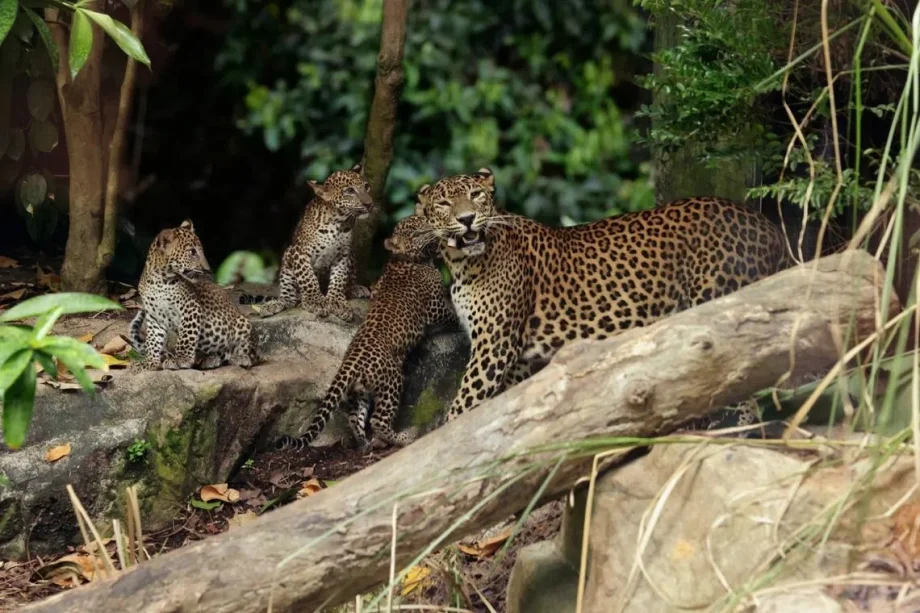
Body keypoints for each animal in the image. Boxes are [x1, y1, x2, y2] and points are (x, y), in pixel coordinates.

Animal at [129, 220, 258, 371]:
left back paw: (241, 357)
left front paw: (181, 359)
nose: (208, 270)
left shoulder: (191, 307)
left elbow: (186, 335)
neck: (159, 280)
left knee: (251, 352)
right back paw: (211, 359)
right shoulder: (155, 316)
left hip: (242, 324)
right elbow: (153, 341)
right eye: (192, 252)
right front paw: (149, 362)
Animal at [259, 163, 375, 322]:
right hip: (287, 257)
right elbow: (308, 278)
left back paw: (355, 289)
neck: (338, 222)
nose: (369, 204)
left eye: (366, 187)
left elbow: (339, 279)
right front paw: (316, 301)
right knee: (289, 299)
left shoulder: (343, 255)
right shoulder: (300, 253)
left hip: (353, 255)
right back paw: (272, 305)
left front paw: (337, 302)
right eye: (350, 191)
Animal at [276, 214, 457, 450]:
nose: (435, 228)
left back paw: (365, 444)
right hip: (392, 381)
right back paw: (404, 437)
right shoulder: (435, 307)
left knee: (356, 419)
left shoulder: (376, 288)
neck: (404, 259)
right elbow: (450, 313)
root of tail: (351, 363)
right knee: (378, 420)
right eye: (419, 232)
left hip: (358, 392)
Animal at [412, 167, 791, 422]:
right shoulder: (516, 359)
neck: (463, 263)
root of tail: (767, 226)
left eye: (476, 195)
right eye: (444, 202)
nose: (467, 218)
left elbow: (462, 408)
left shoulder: (494, 348)